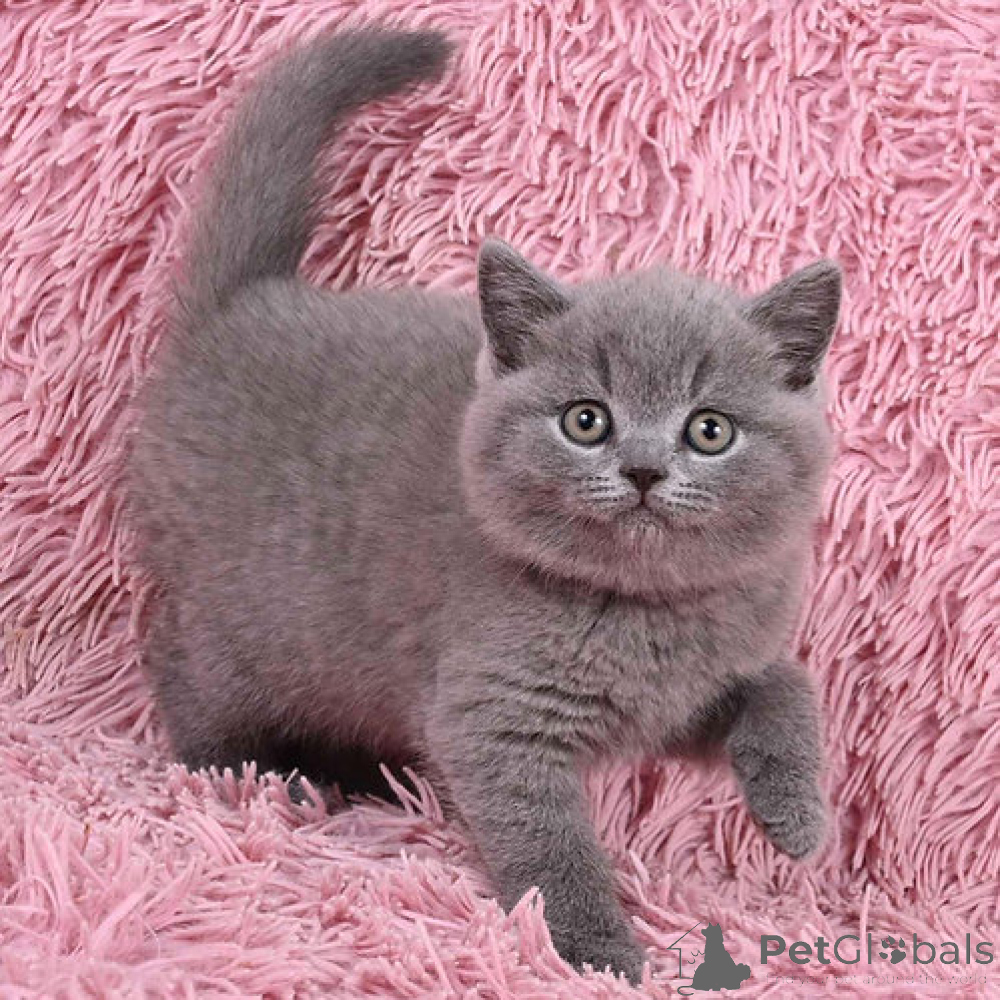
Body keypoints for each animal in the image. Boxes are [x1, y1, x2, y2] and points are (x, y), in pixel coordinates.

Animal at [128, 28, 840, 984]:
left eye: (710, 430)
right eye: (587, 420)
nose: (645, 469)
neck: (643, 612)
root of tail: (243, 306)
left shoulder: (689, 691)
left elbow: (787, 682)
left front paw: (795, 810)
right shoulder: (498, 720)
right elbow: (550, 846)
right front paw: (595, 947)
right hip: (243, 614)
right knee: (188, 669)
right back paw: (252, 778)